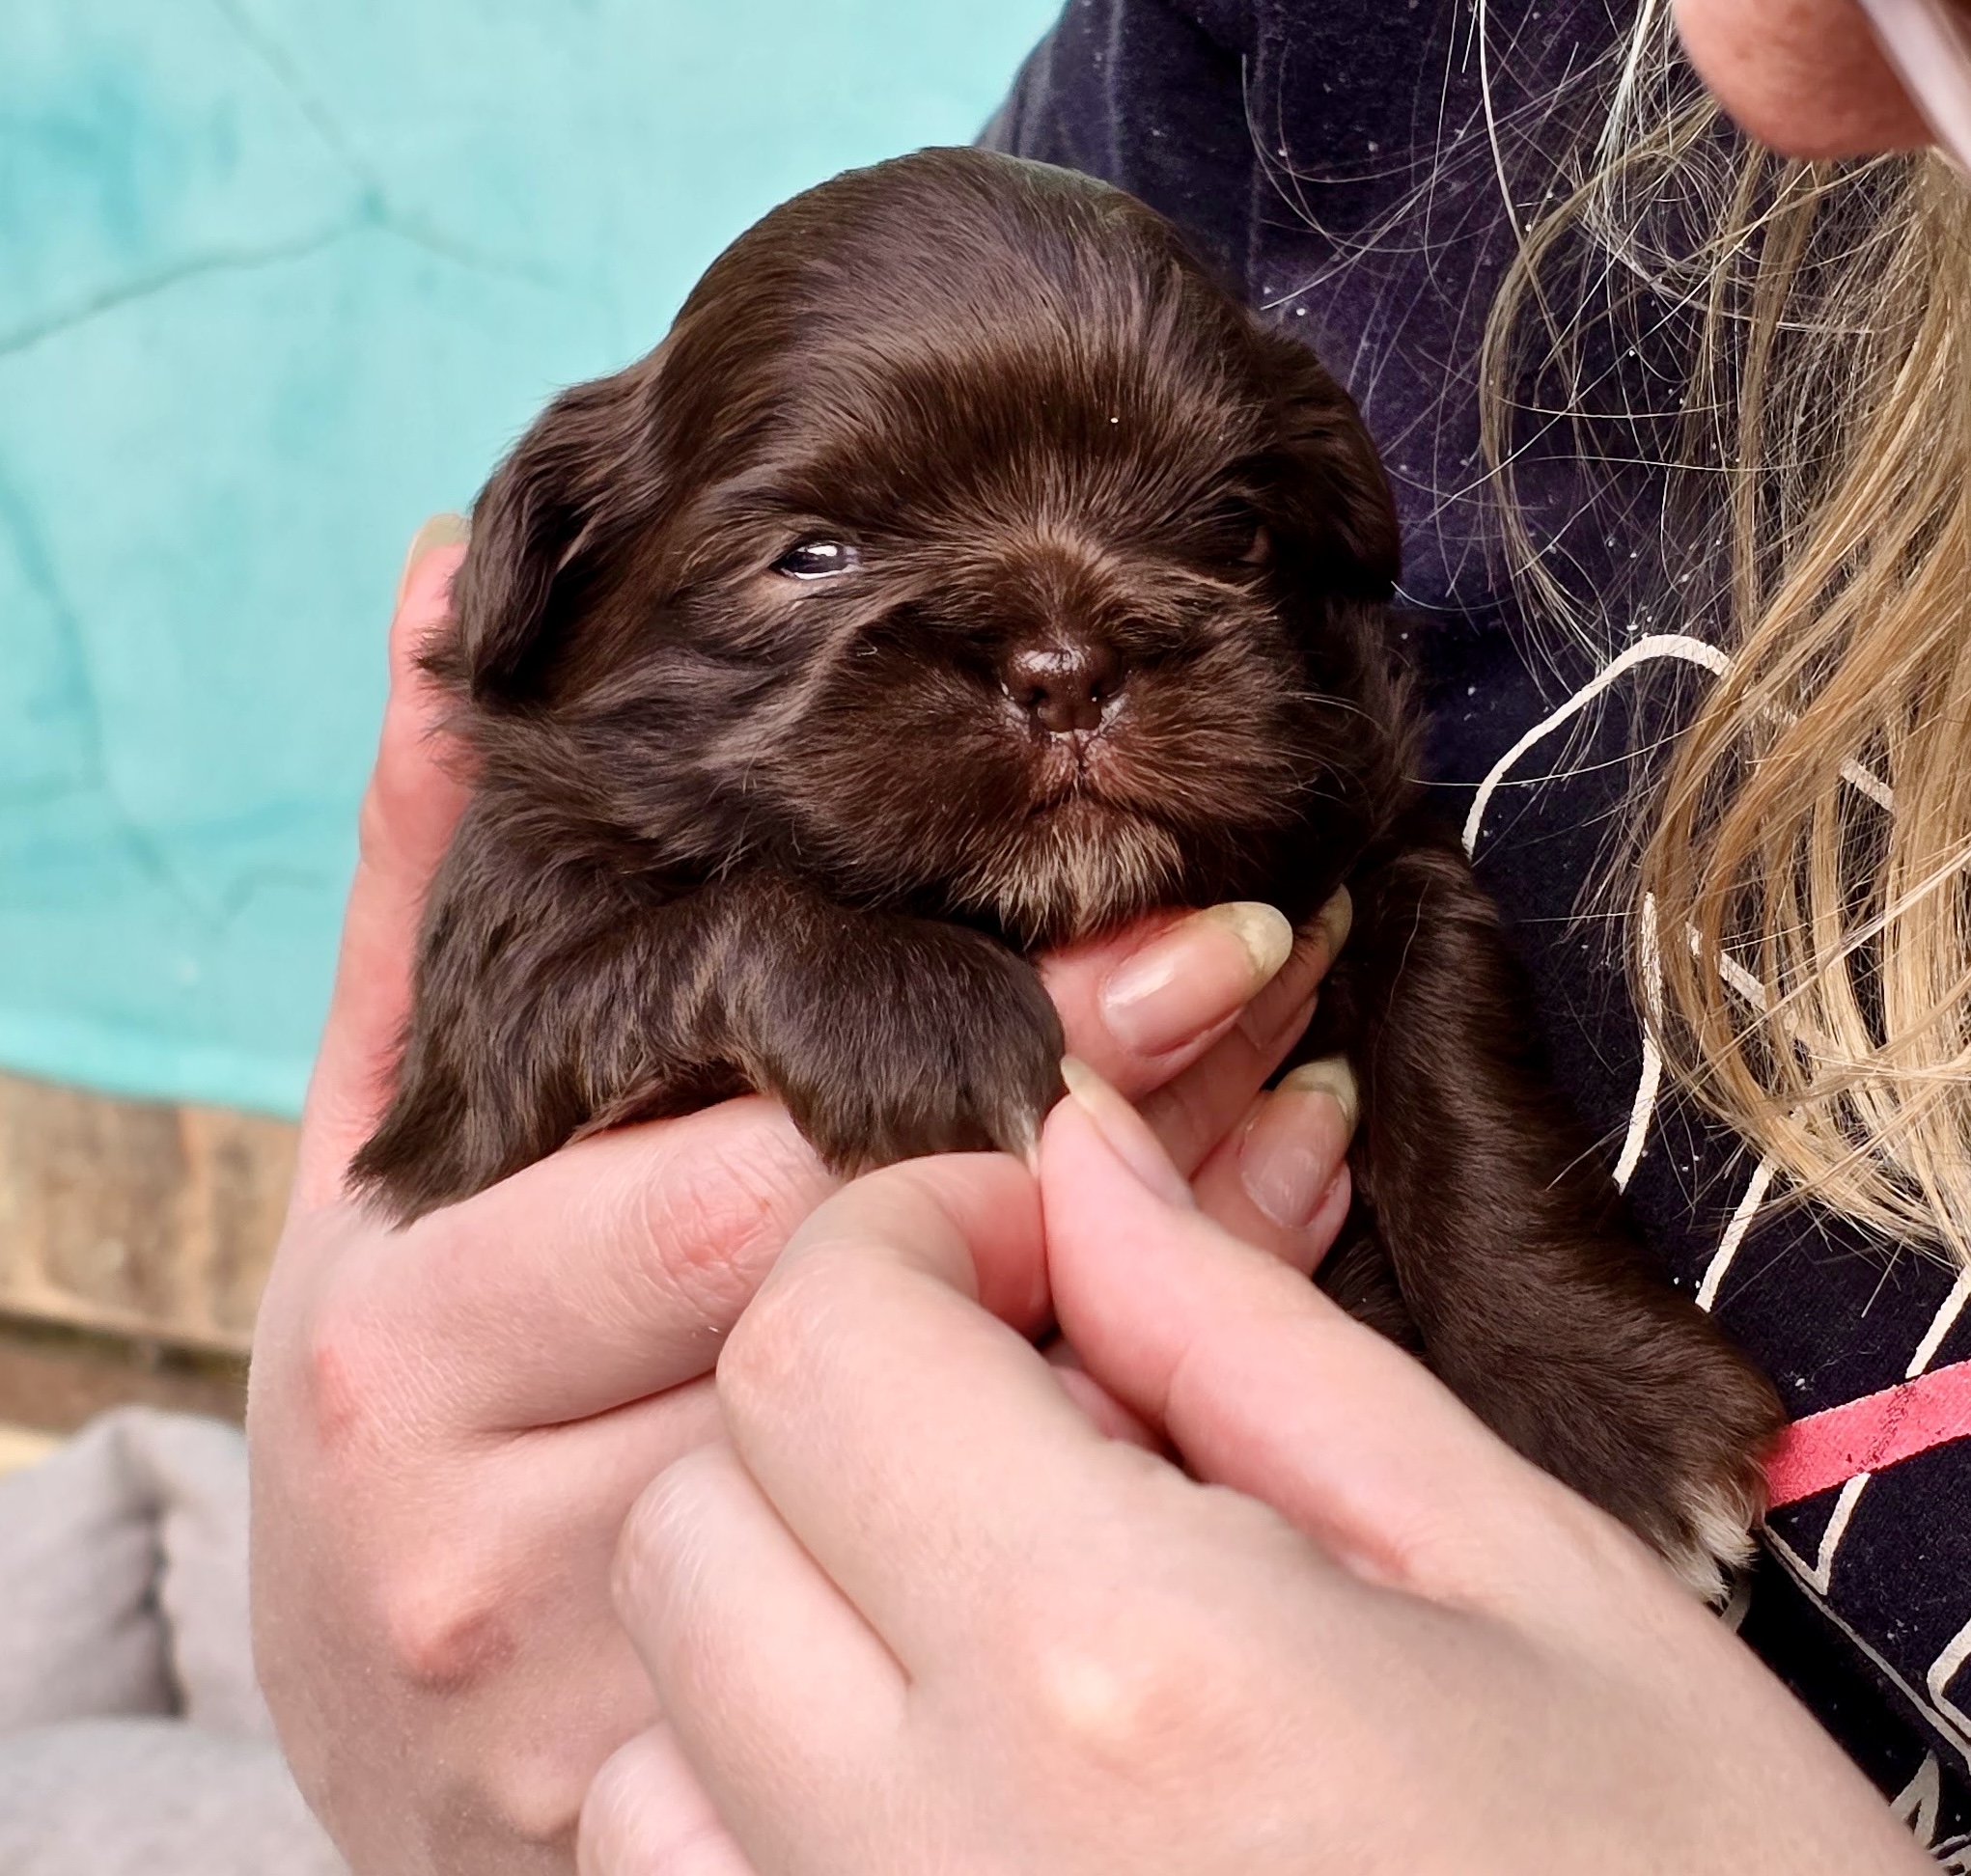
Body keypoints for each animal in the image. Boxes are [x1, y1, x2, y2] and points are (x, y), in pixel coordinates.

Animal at [354, 147, 1790, 1591]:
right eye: (811, 556)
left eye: (1231, 528)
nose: (1067, 669)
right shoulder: (493, 1038)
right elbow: (699, 931)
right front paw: (914, 1005)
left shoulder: (1387, 858)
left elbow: (1458, 1078)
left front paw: (1603, 1398)